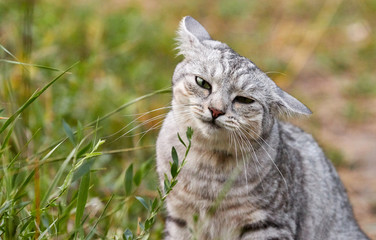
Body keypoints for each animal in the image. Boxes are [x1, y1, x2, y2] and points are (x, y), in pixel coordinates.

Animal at [155, 16, 368, 240]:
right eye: (202, 83)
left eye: (244, 100)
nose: (216, 110)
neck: (207, 170)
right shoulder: (179, 217)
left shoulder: (270, 224)